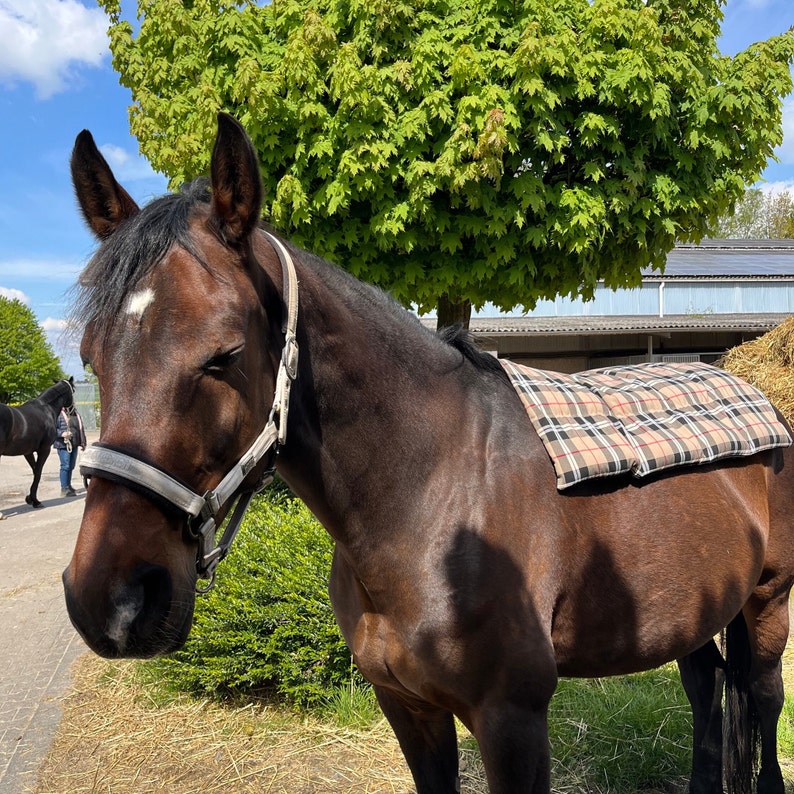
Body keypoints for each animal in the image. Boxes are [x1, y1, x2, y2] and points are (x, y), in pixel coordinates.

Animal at [0, 376, 74, 510]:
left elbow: (35, 471)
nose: (72, 410)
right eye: (74, 390)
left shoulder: (28, 452)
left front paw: (30, 498)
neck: (46, 409)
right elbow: (38, 473)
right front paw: (35, 500)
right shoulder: (44, 449)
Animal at [63, 113, 794, 792]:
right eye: (91, 357)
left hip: (767, 601)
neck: (430, 497)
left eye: (224, 356)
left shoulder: (513, 721)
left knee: (762, 700)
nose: (109, 601)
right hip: (693, 609)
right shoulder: (408, 710)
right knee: (706, 693)